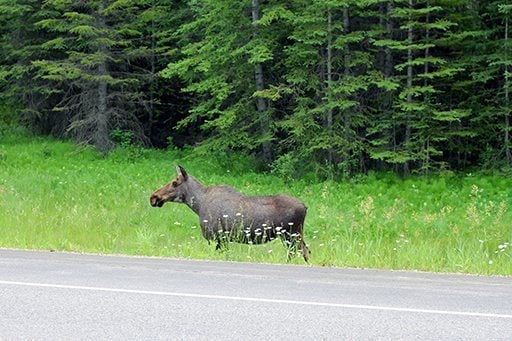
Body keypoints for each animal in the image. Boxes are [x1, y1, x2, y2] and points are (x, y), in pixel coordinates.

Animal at [148, 166, 308, 262]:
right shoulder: (222, 239)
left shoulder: (216, 237)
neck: (197, 205)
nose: (154, 197)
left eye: (175, 183)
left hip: (291, 234)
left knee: (301, 252)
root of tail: (305, 207)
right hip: (293, 234)